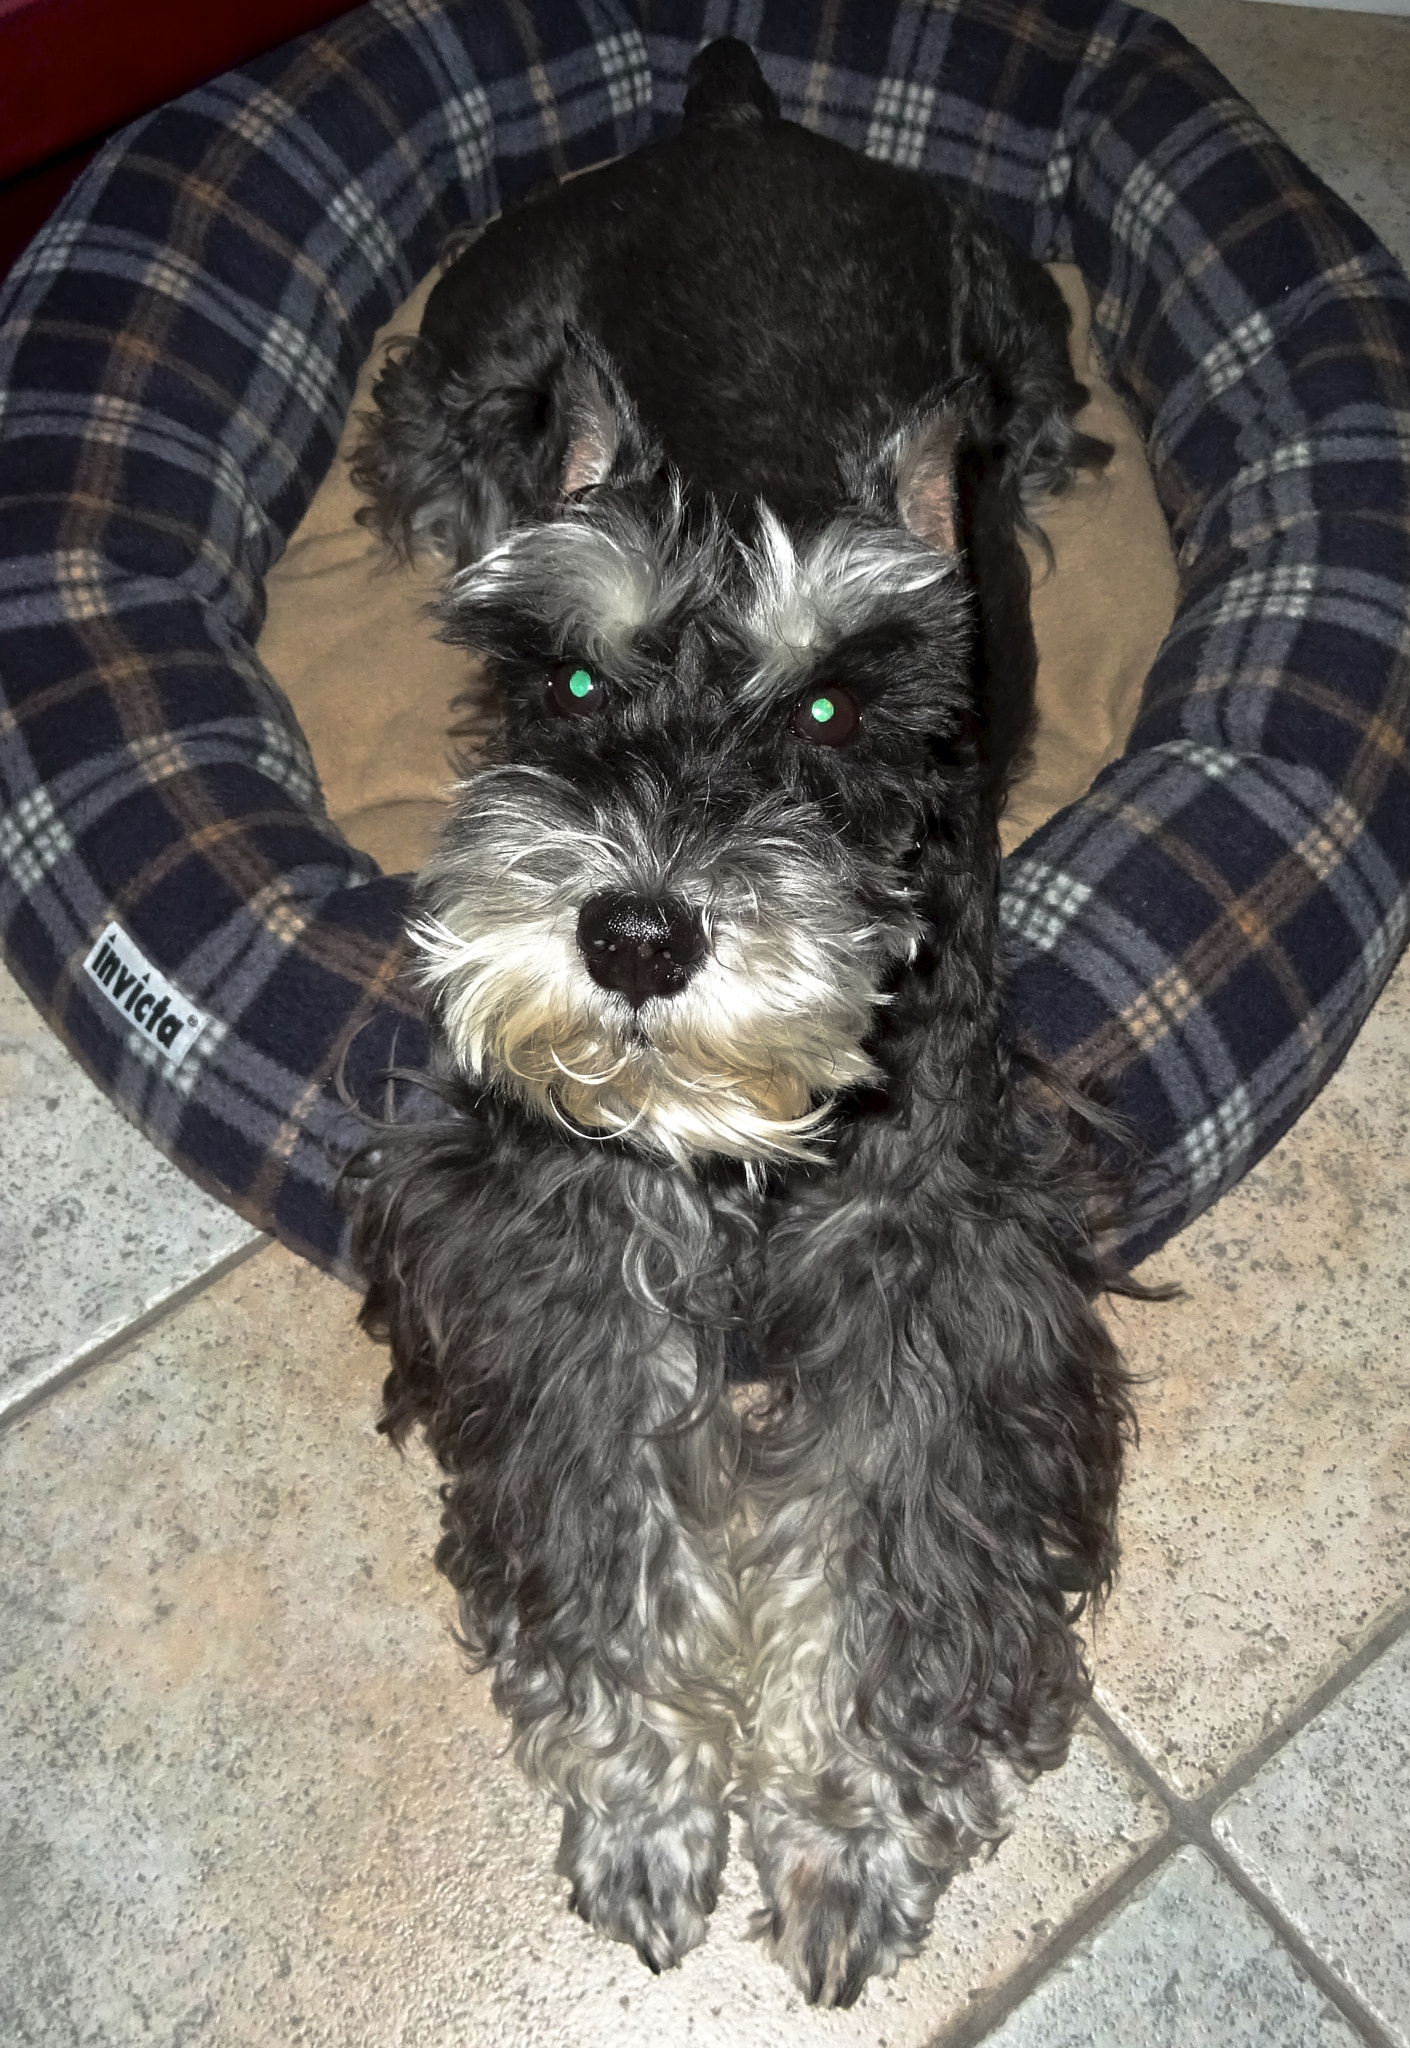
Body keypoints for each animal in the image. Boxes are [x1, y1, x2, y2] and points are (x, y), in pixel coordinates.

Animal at [352, 39, 1131, 2007]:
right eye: (566, 673)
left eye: (840, 704)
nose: (636, 931)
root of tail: (734, 118)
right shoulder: (557, 1231)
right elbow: (606, 1508)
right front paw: (644, 1801)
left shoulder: (935, 1257)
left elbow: (890, 1523)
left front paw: (848, 1830)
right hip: (473, 362)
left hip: (1022, 347)